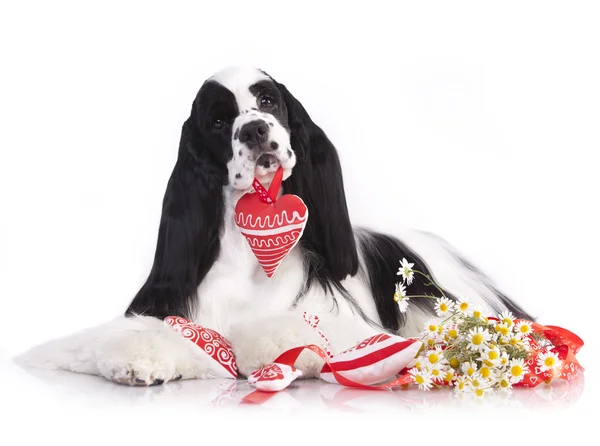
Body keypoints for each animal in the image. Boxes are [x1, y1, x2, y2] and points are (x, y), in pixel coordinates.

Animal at [14, 66, 532, 386]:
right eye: (217, 121)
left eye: (269, 99)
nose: (254, 129)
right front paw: (137, 360)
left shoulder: (341, 328)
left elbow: (286, 334)